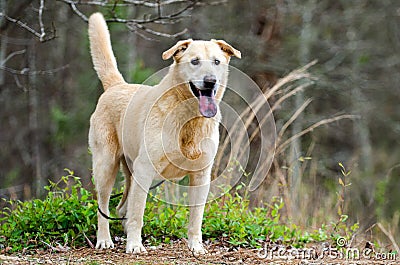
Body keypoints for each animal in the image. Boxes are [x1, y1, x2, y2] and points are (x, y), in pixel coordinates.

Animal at [88, 12, 241, 254]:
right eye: (194, 61)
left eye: (217, 62)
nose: (210, 81)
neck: (189, 120)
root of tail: (116, 86)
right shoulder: (145, 170)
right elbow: (138, 214)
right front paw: (134, 245)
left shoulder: (201, 175)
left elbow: (196, 218)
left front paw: (196, 247)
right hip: (106, 166)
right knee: (104, 206)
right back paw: (105, 240)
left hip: (131, 172)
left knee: (122, 208)